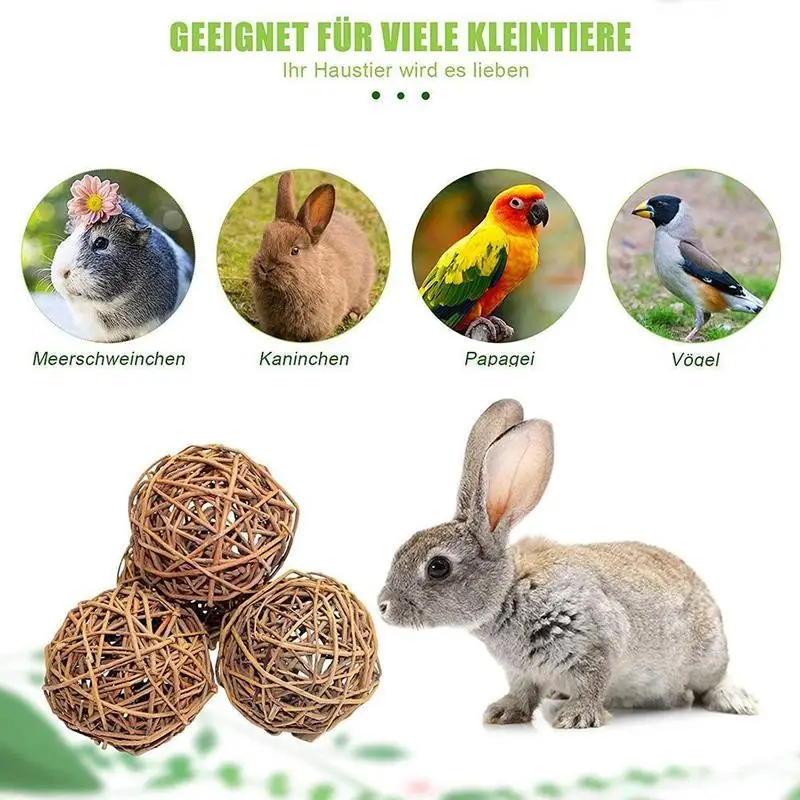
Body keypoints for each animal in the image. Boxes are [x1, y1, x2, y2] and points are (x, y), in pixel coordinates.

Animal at [378, 399, 757, 729]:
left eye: (437, 567)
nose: (383, 606)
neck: (509, 592)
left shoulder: (596, 644)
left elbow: (592, 682)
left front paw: (578, 718)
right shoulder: (521, 672)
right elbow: (523, 692)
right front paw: (503, 712)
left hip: (707, 656)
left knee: (710, 683)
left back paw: (736, 700)